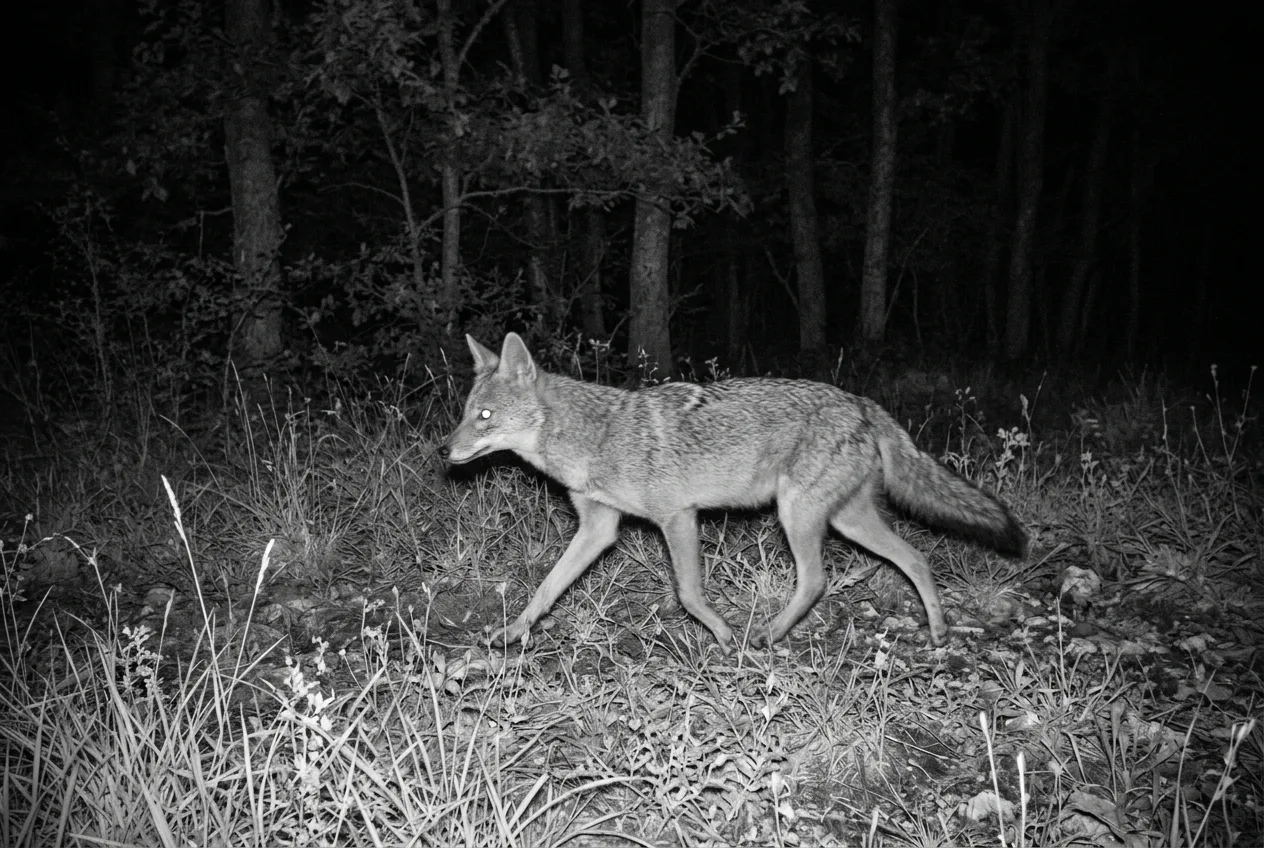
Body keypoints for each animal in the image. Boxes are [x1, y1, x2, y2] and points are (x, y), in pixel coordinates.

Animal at [439, 332, 1027, 651]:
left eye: (484, 416)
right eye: (465, 413)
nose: (444, 450)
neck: (594, 437)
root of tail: (861, 402)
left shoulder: (677, 517)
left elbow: (689, 593)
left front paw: (723, 637)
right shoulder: (598, 529)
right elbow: (544, 590)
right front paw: (511, 634)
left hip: (798, 516)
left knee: (818, 581)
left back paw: (767, 635)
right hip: (846, 520)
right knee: (917, 558)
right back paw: (938, 631)